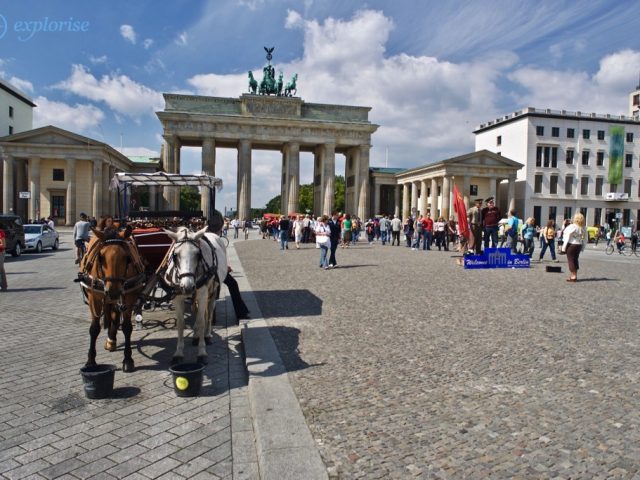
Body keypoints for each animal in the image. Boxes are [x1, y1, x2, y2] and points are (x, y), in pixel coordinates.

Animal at [79, 228, 146, 372]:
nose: (113, 291)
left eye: (127, 258)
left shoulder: (128, 297)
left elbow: (127, 327)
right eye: (100, 257)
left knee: (115, 316)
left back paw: (111, 340)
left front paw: (128, 359)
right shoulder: (94, 299)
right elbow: (94, 329)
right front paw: (90, 361)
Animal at [164, 226, 229, 364]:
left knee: (209, 311)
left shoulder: (203, 294)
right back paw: (196, 335)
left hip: (213, 290)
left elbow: (201, 321)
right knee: (197, 310)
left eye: (198, 255)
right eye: (175, 255)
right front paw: (178, 353)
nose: (188, 287)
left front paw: (202, 352)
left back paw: (207, 335)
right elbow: (181, 324)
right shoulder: (177, 298)